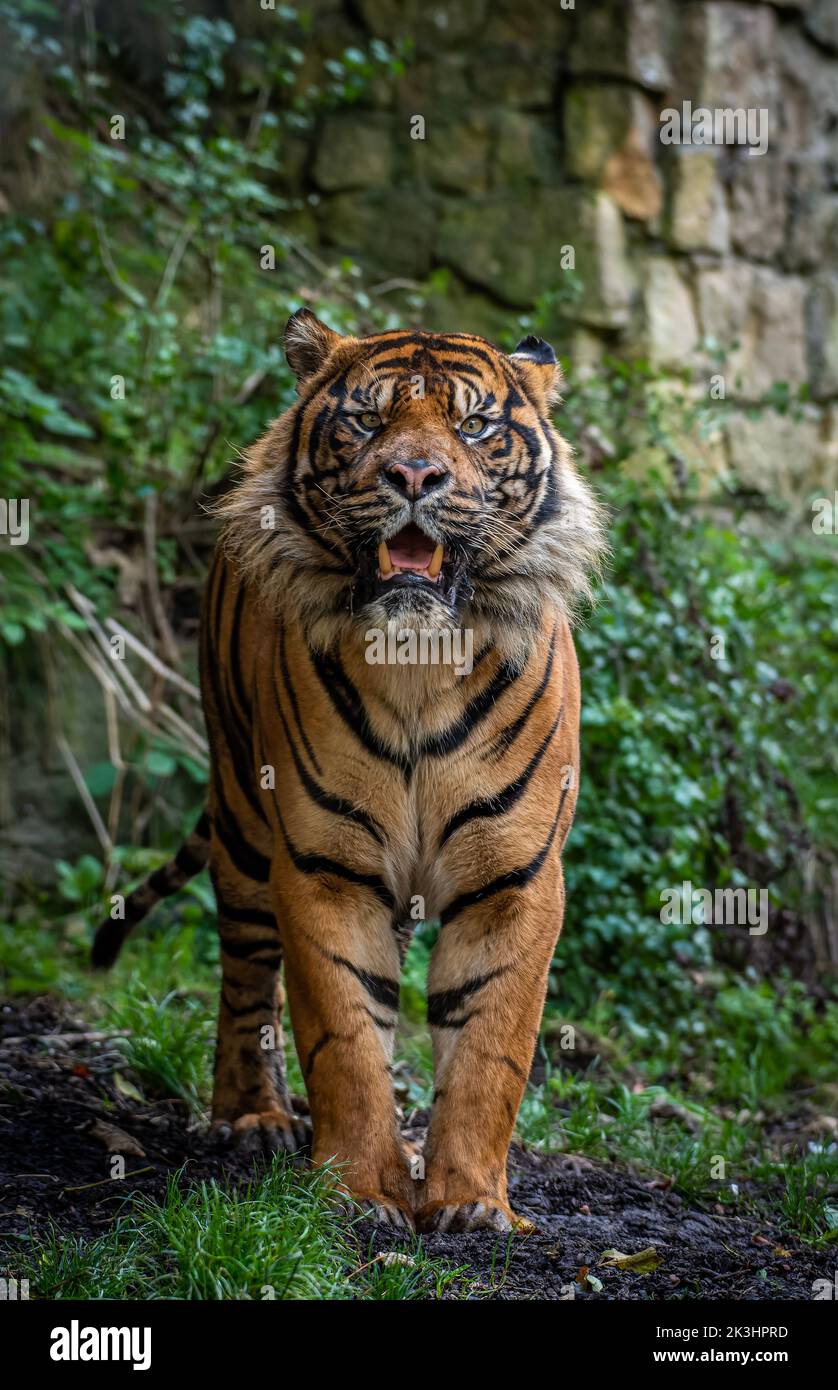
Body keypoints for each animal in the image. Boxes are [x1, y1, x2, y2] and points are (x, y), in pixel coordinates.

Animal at [93, 310, 606, 1233]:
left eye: (474, 426)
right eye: (367, 422)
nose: (414, 475)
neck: (418, 662)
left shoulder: (515, 881)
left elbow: (491, 1051)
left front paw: (471, 1202)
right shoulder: (323, 868)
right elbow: (345, 1039)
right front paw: (362, 1193)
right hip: (242, 820)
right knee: (246, 983)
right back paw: (252, 1118)